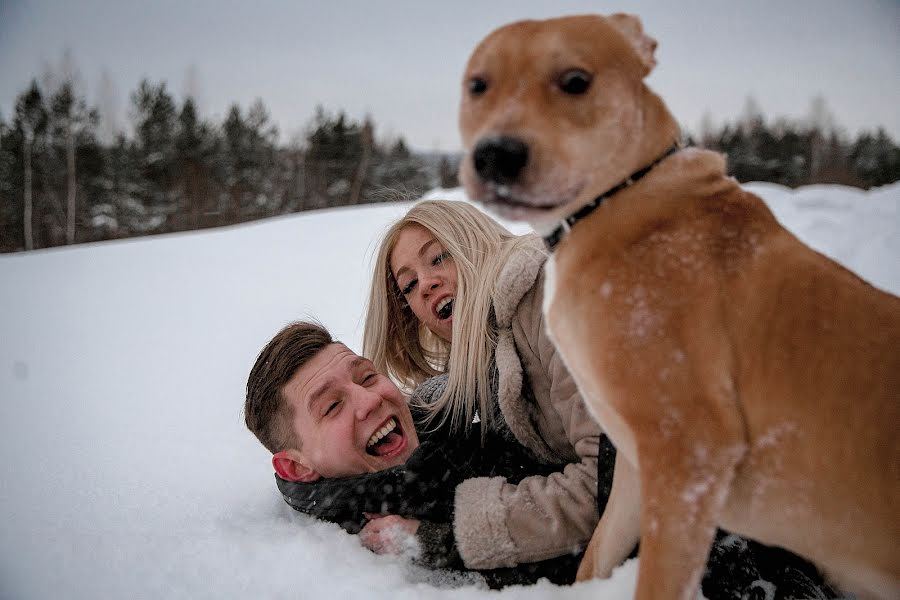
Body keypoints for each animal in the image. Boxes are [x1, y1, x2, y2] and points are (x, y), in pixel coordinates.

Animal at [460, 14, 896, 600]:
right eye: (477, 85)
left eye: (575, 81)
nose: (495, 154)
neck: (616, 201)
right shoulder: (635, 467)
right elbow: (596, 555)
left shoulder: (690, 454)